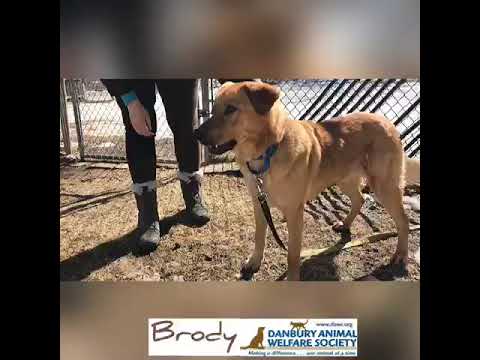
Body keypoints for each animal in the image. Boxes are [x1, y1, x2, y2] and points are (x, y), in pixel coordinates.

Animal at [195, 81, 420, 282]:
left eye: (231, 109)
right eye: (213, 110)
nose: (195, 133)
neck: (269, 151)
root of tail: (388, 122)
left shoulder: (295, 212)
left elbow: (292, 254)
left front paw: (292, 279)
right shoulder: (259, 205)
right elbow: (260, 237)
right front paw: (254, 262)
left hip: (383, 187)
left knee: (403, 220)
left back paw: (400, 255)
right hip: (344, 179)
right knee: (360, 199)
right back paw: (345, 225)